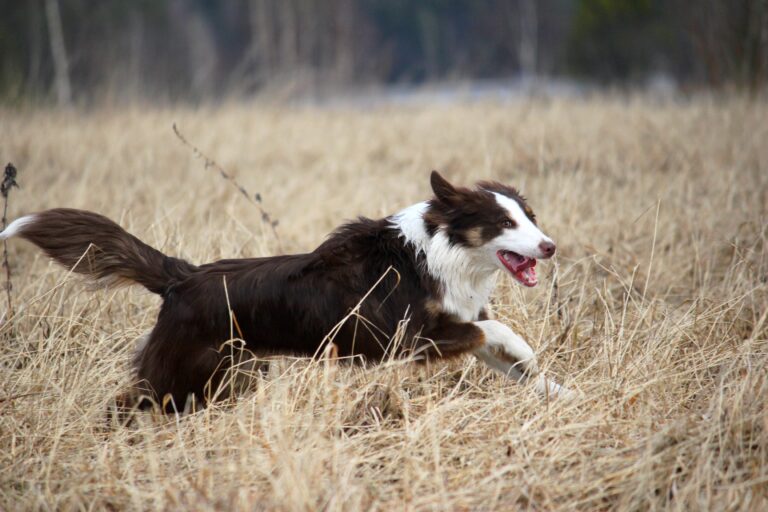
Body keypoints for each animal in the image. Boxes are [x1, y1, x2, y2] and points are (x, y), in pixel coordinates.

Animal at [1, 172, 568, 412]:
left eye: (530, 217)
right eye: (503, 223)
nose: (550, 246)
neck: (439, 251)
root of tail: (181, 277)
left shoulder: (453, 322)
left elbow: (500, 349)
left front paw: (559, 392)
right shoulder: (406, 339)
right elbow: (494, 329)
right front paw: (526, 350)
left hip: (233, 374)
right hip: (184, 375)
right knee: (127, 403)